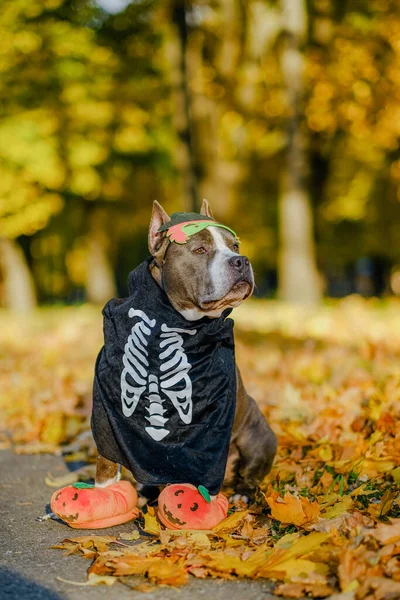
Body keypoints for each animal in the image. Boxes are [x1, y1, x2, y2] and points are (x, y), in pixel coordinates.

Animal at [92, 200, 276, 502]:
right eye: (200, 250)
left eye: (235, 246)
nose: (241, 260)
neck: (174, 321)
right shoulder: (109, 407)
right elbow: (106, 459)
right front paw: (104, 497)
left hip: (258, 435)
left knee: (250, 473)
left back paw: (241, 494)